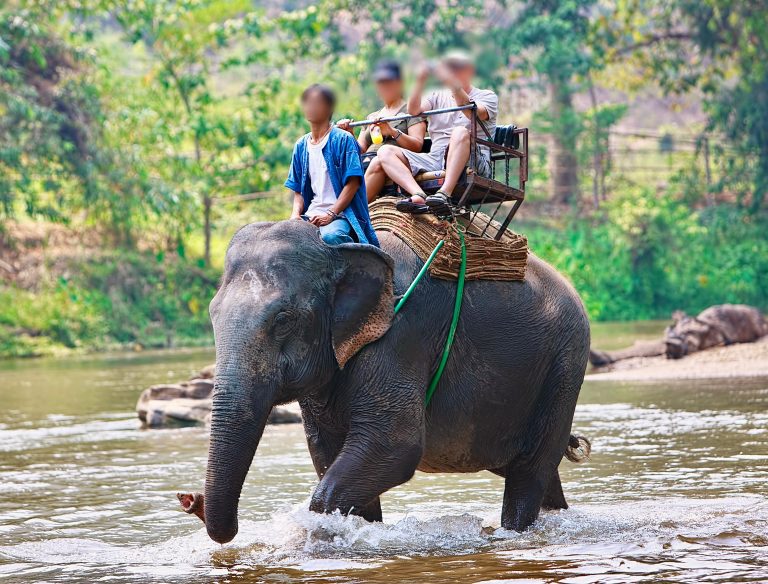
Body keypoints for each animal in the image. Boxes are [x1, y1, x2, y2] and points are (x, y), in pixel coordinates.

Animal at [182, 220, 591, 544]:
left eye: (283, 319)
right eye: (212, 314)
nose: (190, 500)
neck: (338, 249)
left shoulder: (400, 333)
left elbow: (394, 445)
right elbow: (327, 450)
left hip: (566, 363)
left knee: (530, 469)